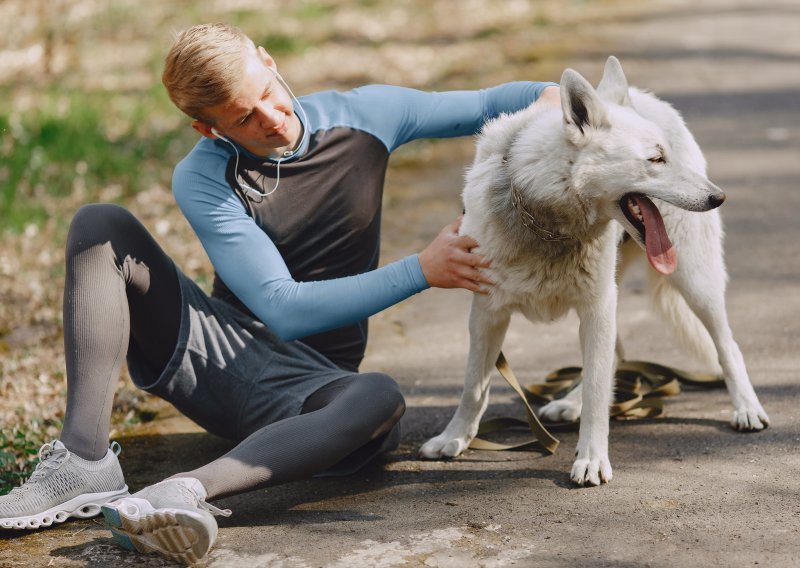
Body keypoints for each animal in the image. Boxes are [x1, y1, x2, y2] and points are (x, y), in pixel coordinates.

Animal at [418, 56, 768, 484]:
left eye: (666, 155)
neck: (545, 220)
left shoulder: (596, 309)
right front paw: (454, 438)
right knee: (614, 356)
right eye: (655, 159)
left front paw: (591, 460)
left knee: (726, 345)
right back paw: (569, 404)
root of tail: (645, 96)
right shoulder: (487, 313)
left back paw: (746, 408)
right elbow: (473, 386)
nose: (719, 197)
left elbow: (599, 393)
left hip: (693, 282)